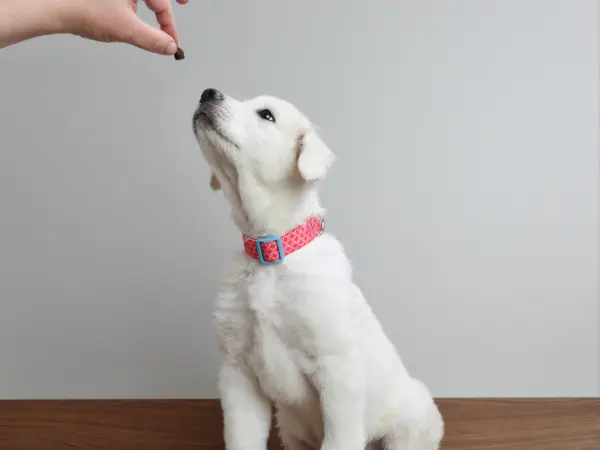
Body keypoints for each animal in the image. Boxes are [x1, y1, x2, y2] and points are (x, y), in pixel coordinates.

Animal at [192, 88, 446, 450]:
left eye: (266, 115)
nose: (207, 93)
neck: (271, 254)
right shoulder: (237, 369)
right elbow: (242, 438)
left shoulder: (336, 368)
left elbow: (339, 440)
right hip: (290, 429)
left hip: (410, 427)